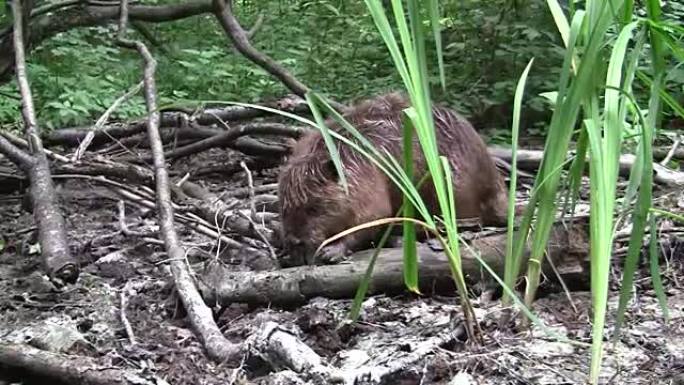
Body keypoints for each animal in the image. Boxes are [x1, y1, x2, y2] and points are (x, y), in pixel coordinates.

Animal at [276, 92, 508, 266]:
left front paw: (331, 251)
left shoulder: (369, 180)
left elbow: (374, 215)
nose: (296, 242)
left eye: (313, 208)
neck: (347, 150)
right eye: (284, 209)